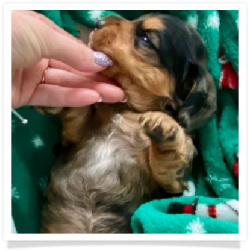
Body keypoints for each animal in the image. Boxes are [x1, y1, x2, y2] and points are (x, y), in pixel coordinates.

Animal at [41, 14, 217, 232]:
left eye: (146, 39)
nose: (98, 22)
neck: (126, 109)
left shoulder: (171, 187)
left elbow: (166, 165)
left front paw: (166, 128)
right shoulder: (73, 141)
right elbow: (77, 115)